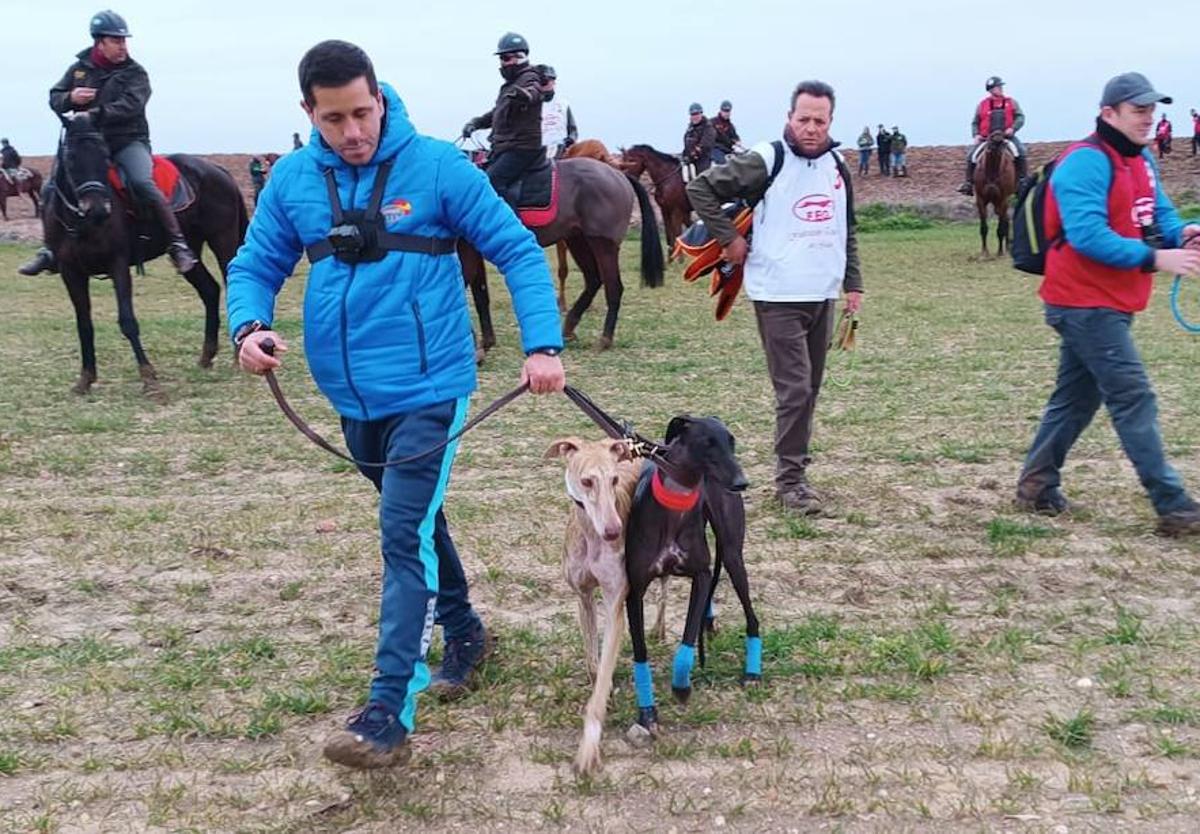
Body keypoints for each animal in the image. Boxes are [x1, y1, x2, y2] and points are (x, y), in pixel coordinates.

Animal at [460, 156, 667, 352]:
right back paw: (569, 328)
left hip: (603, 244)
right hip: (578, 241)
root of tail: (619, 175)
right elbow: (480, 294)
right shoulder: (472, 250)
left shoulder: (467, 250)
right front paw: (486, 341)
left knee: (613, 287)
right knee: (594, 280)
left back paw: (604, 339)